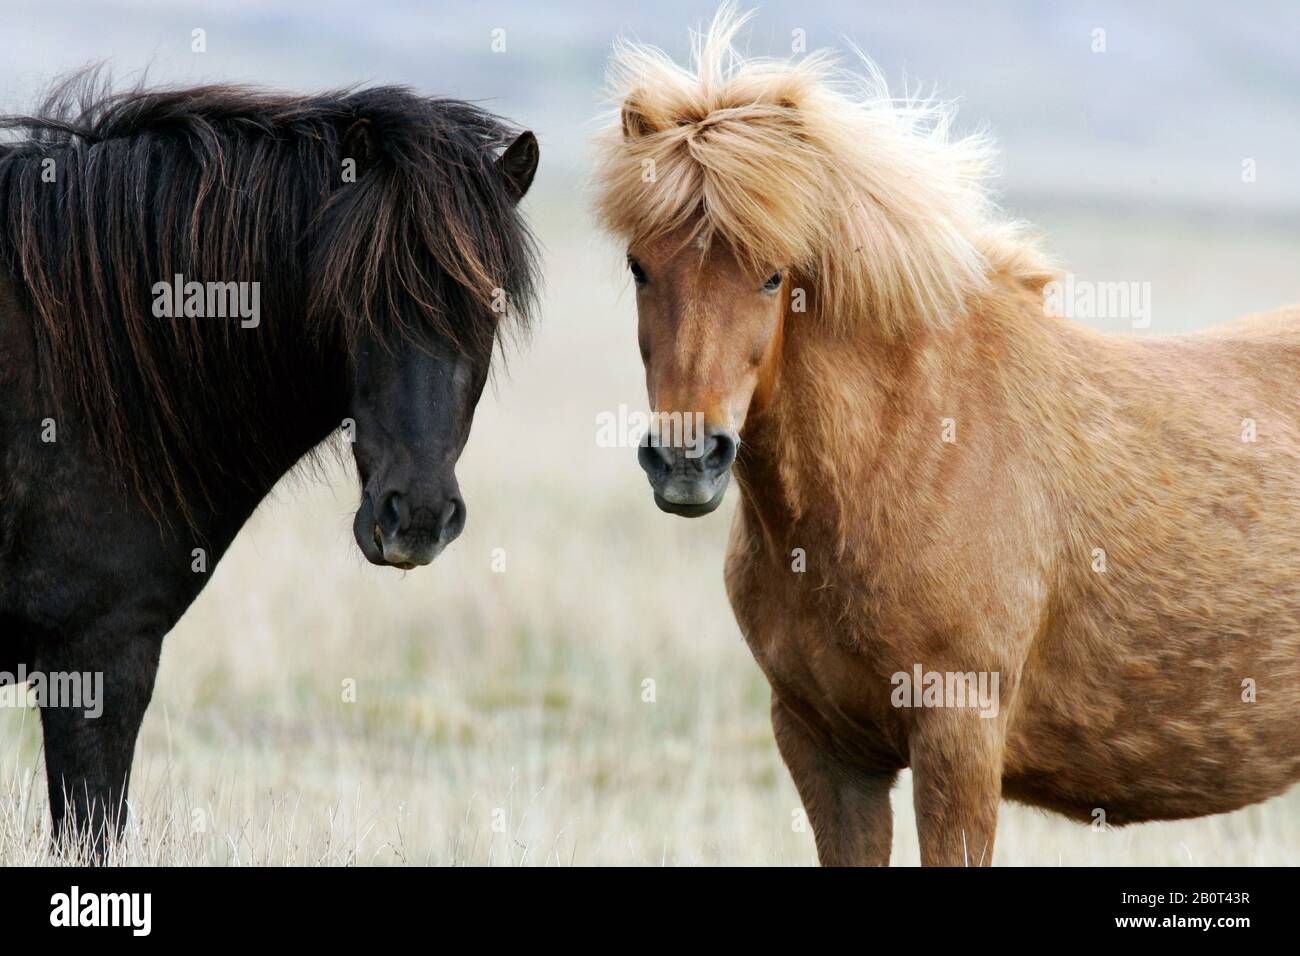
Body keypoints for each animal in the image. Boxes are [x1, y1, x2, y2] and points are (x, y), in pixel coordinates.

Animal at [594, 7, 1300, 866]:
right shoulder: (825, 749)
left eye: (773, 274)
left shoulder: (958, 737)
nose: (686, 461)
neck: (905, 450)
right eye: (640, 266)